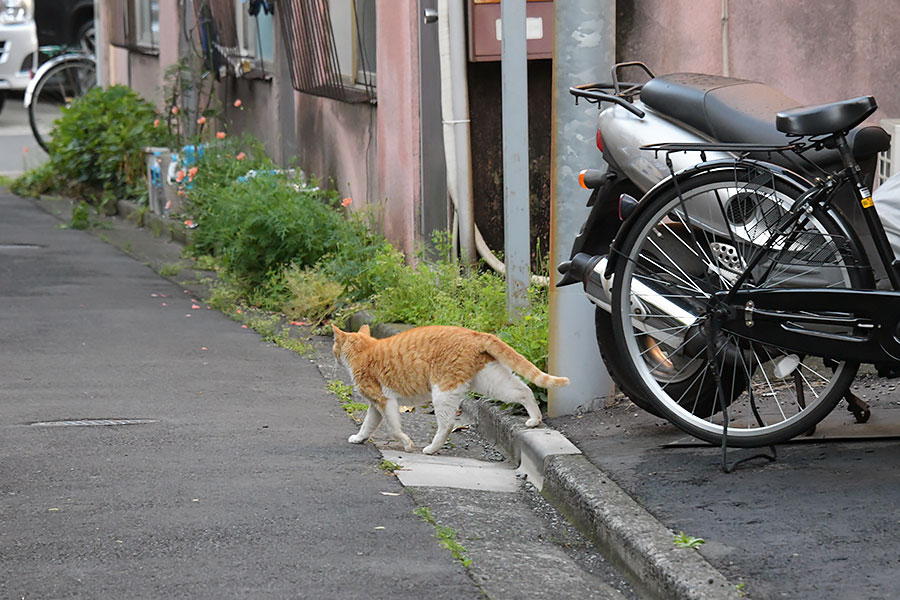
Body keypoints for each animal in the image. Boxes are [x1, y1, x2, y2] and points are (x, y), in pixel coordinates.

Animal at [330, 326, 568, 452]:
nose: (335, 357)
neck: (364, 350)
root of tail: (474, 333)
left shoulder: (384, 401)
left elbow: (394, 429)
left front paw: (408, 445)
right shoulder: (376, 405)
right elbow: (368, 424)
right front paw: (359, 438)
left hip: (443, 392)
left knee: (447, 424)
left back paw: (431, 449)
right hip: (492, 381)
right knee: (524, 390)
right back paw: (535, 419)